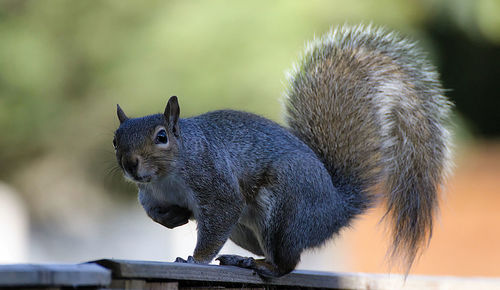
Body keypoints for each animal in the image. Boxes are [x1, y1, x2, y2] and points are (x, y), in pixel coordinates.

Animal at [112, 24, 454, 276]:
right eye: (116, 140)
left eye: (161, 137)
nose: (130, 164)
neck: (165, 177)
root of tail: (335, 209)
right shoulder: (151, 194)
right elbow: (154, 212)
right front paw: (173, 218)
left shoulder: (213, 181)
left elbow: (221, 215)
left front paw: (196, 259)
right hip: (248, 230)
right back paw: (245, 259)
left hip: (286, 206)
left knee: (288, 263)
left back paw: (261, 265)